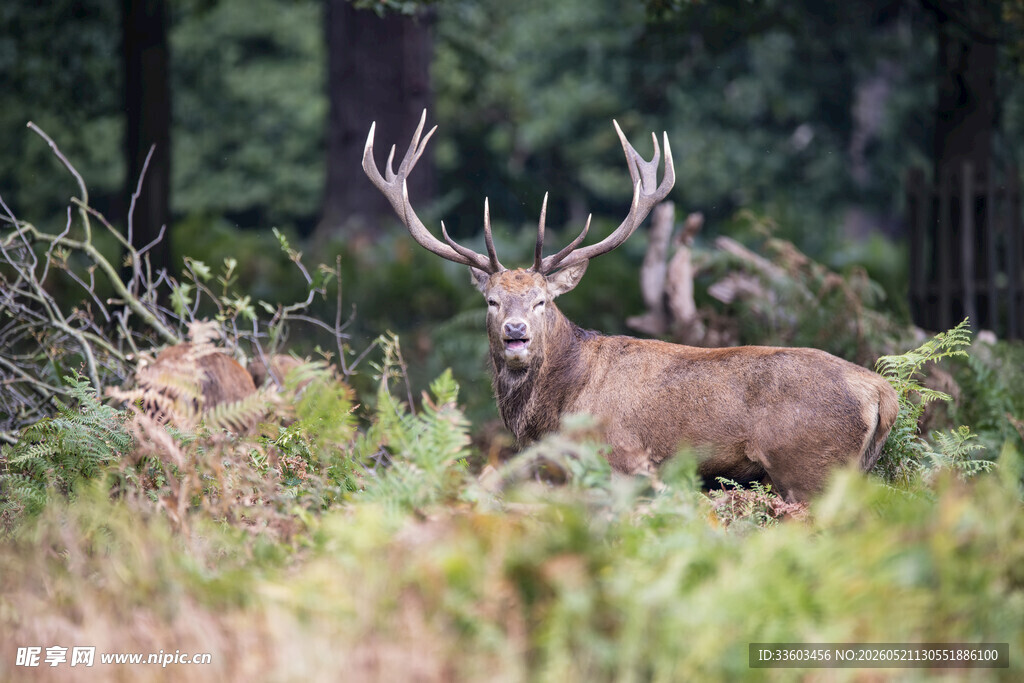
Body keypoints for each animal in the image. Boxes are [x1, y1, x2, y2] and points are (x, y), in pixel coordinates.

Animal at [362, 111, 899, 503]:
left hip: (810, 468)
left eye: (541, 301)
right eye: (492, 301)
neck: (551, 413)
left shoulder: (620, 462)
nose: (515, 332)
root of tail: (882, 393)